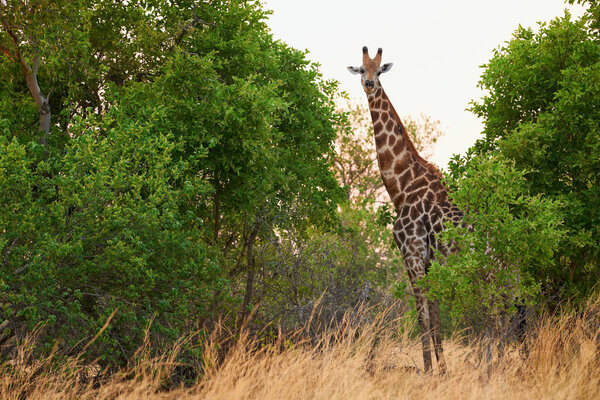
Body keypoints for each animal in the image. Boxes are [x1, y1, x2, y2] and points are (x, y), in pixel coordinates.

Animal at [346, 46, 464, 372]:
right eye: (361, 69)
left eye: (379, 70)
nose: (369, 84)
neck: (401, 186)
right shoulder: (428, 260)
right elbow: (434, 317)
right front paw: (442, 371)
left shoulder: (411, 252)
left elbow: (422, 316)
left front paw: (429, 372)